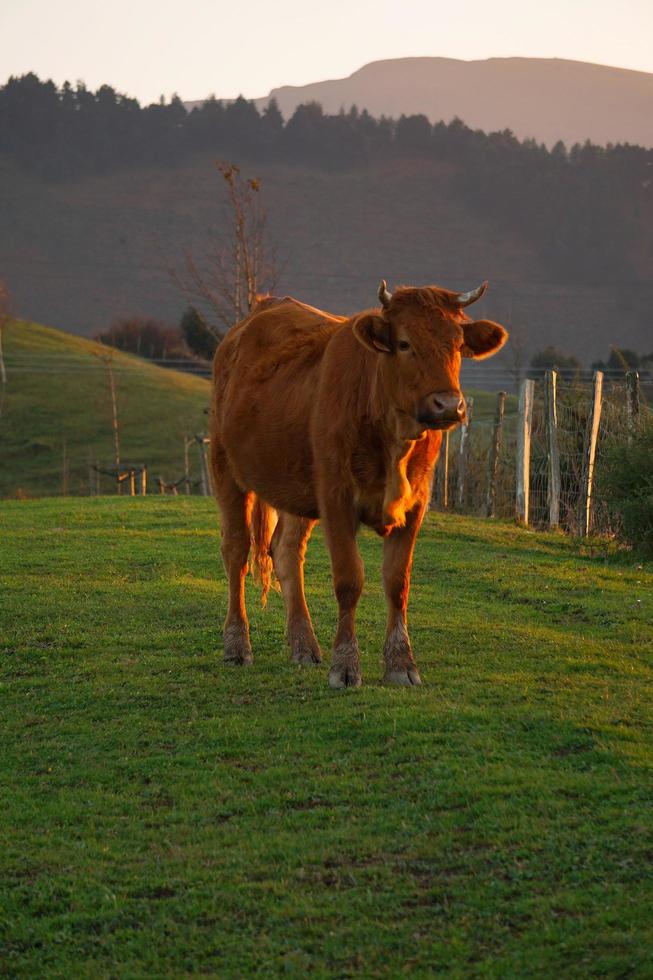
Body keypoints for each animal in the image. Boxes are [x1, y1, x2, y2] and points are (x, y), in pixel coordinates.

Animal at [211, 280, 506, 684]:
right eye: (404, 343)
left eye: (458, 345)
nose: (449, 405)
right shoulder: (336, 497)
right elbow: (349, 581)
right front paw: (346, 665)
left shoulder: (417, 503)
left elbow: (397, 582)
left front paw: (401, 664)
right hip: (226, 467)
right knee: (236, 552)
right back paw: (237, 645)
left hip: (296, 485)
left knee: (286, 552)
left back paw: (304, 646)